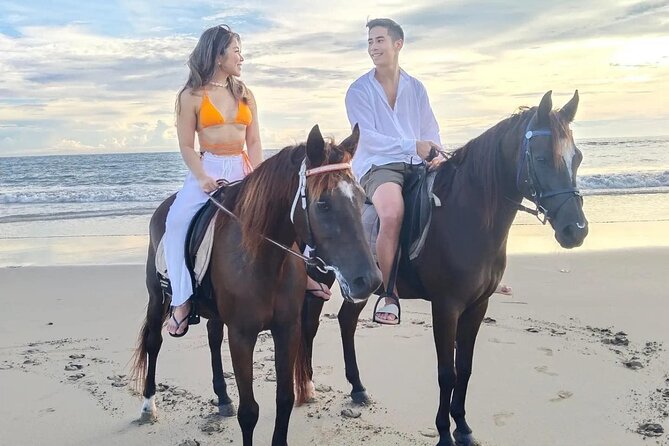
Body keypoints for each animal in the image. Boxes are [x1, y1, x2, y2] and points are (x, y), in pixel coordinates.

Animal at [131, 124, 382, 446]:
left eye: (362, 197)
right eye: (323, 203)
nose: (369, 280)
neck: (264, 260)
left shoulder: (287, 329)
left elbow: (285, 399)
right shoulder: (242, 336)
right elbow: (249, 411)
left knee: (213, 338)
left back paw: (223, 398)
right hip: (157, 298)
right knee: (154, 342)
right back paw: (148, 405)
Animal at [297, 91, 589, 446]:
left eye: (577, 158)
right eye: (543, 158)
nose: (576, 229)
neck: (467, 215)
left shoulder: (477, 306)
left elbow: (464, 369)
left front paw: (462, 427)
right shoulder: (446, 307)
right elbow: (446, 372)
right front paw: (444, 433)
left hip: (361, 284)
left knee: (345, 321)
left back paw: (357, 388)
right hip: (321, 276)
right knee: (309, 322)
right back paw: (307, 383)